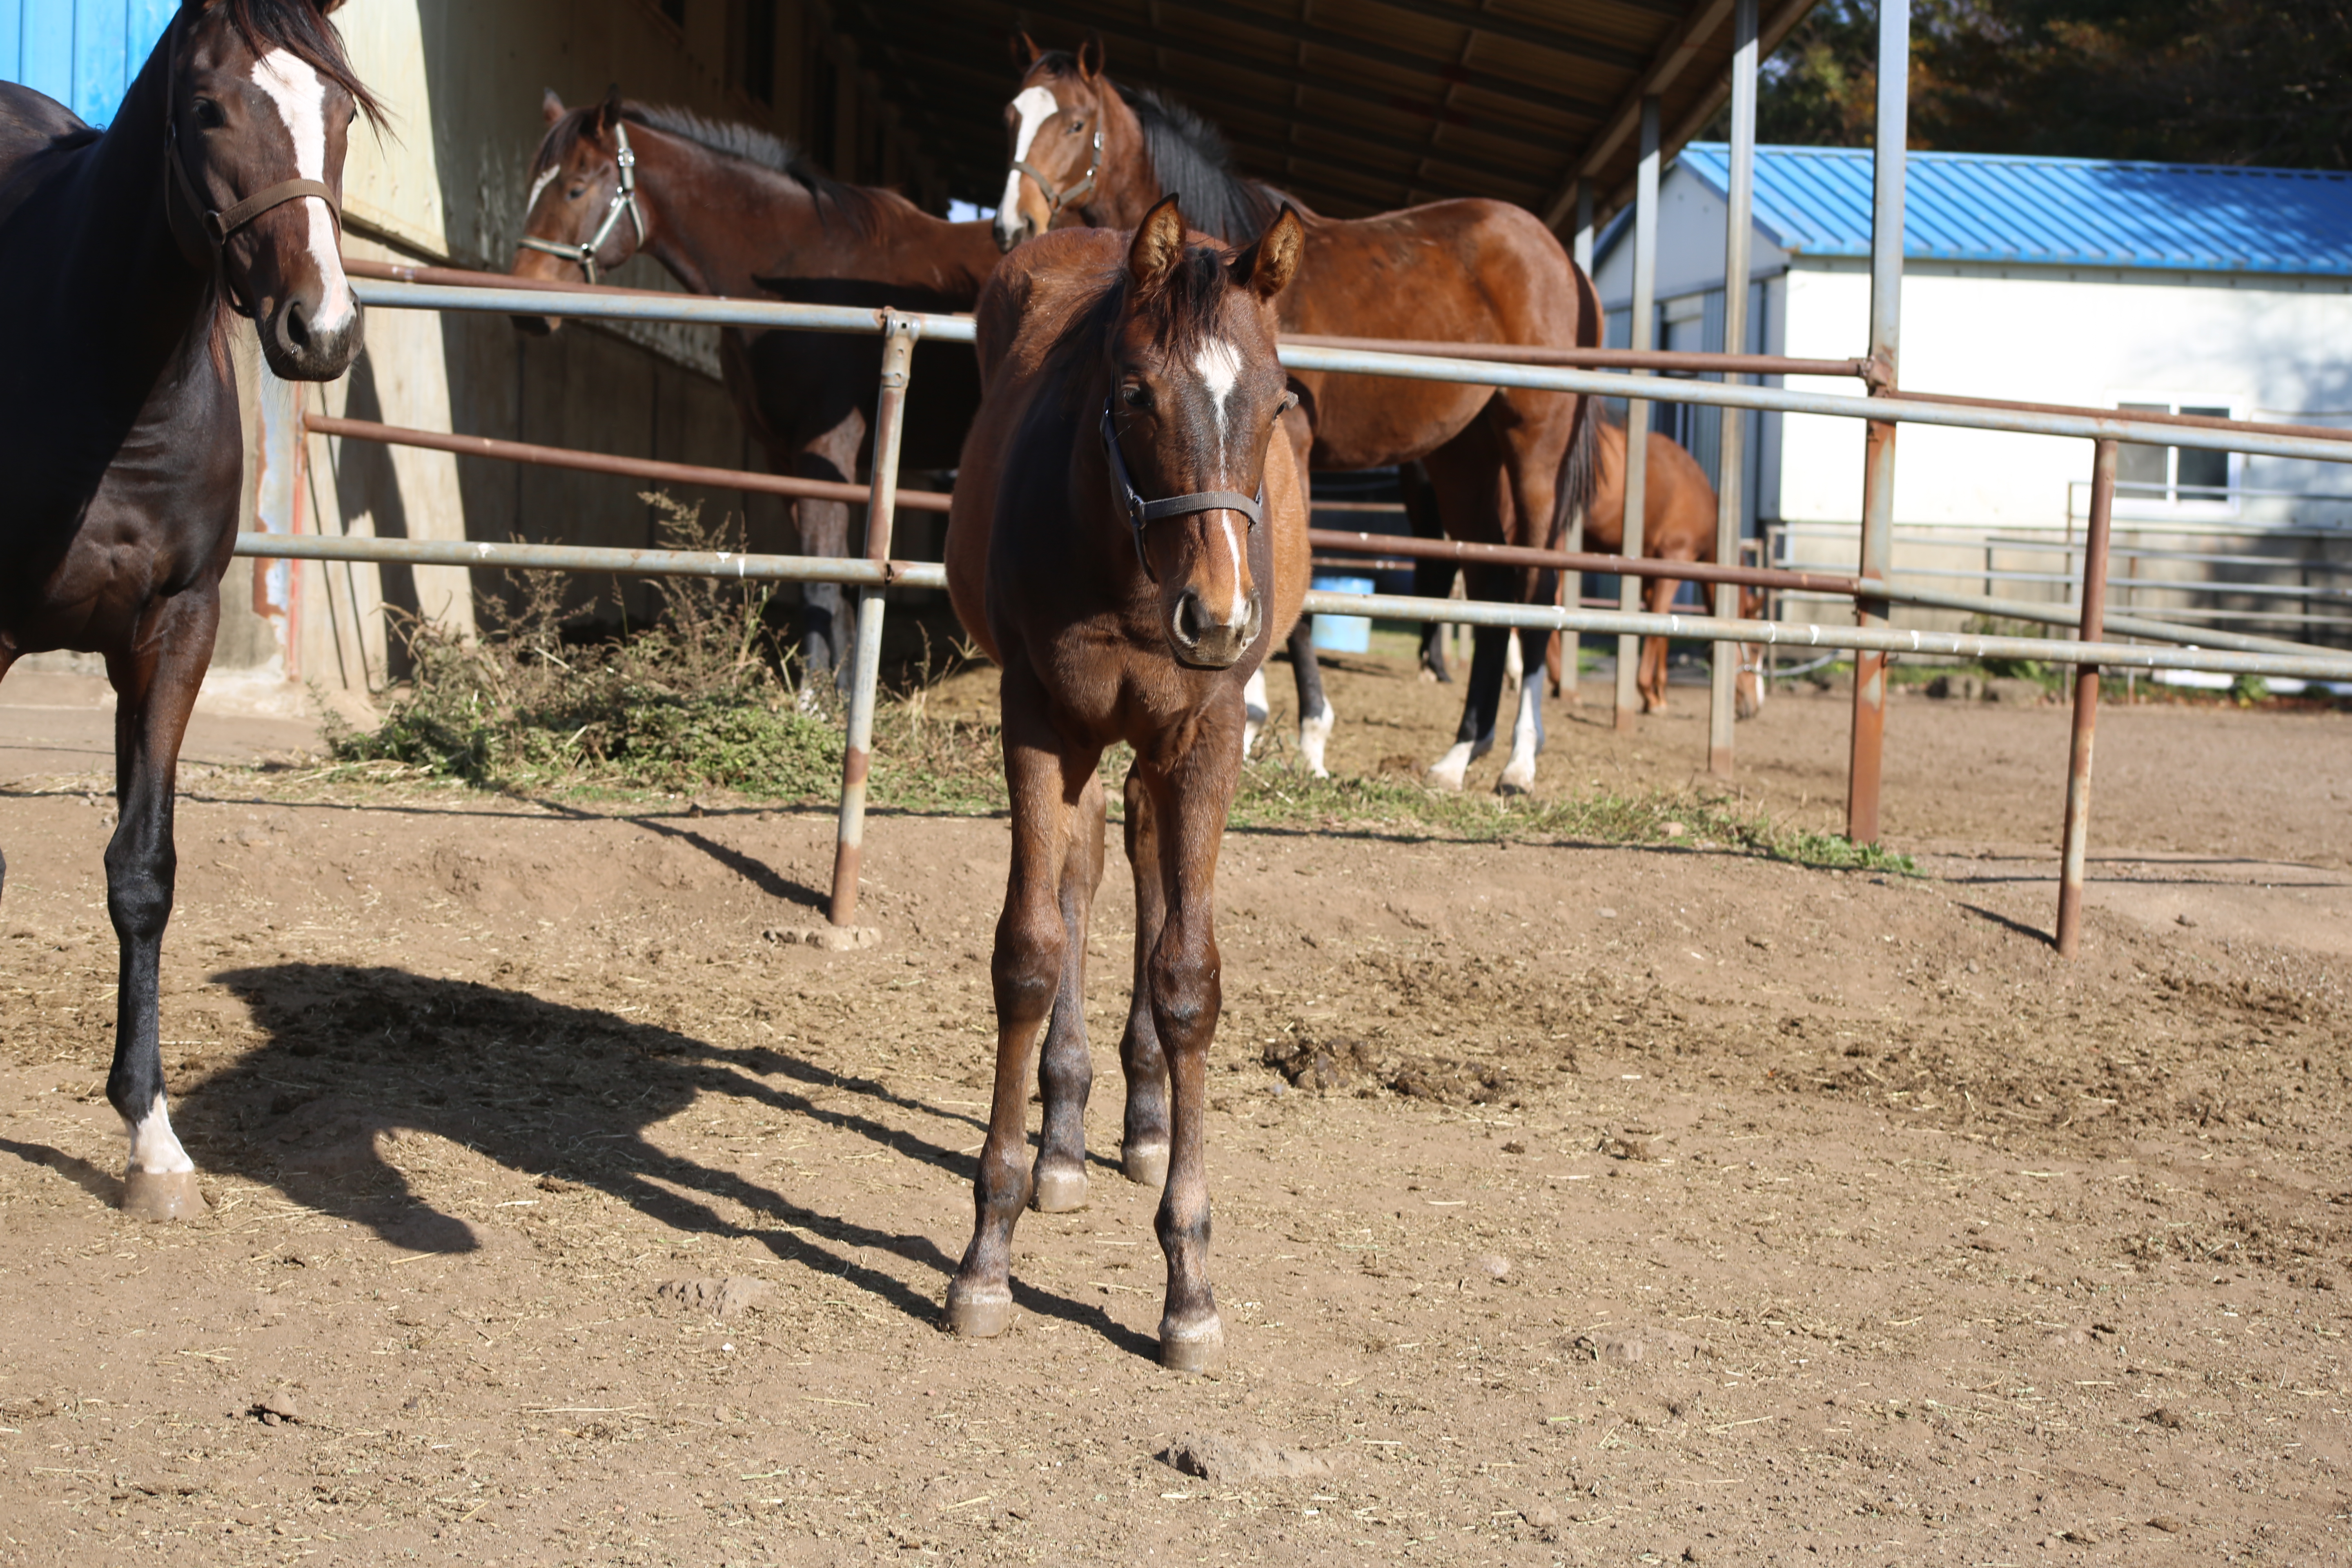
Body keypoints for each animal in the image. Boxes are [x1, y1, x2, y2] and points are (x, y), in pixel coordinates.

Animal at [0, 0, 374, 1222]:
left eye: (341, 110)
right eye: (208, 108)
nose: (322, 330)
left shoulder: (177, 631)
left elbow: (143, 872)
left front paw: (151, 1142)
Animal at [510, 93, 997, 691]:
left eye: (575, 189)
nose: (526, 304)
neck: (797, 264)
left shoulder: (826, 445)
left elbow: (822, 567)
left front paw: (813, 695)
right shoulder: (781, 454)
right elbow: (824, 569)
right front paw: (836, 687)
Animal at [936, 200, 1307, 1373]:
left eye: (1277, 399)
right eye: (1136, 394)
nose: (1220, 617)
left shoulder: (1206, 732)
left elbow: (1188, 978)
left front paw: (1188, 1285)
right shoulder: (1039, 717)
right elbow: (1030, 953)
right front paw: (986, 1253)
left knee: (1143, 862)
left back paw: (1142, 1123)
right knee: (1087, 878)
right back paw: (1064, 1138)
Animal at [992, 33, 1599, 799]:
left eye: (1075, 123)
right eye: (1011, 116)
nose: (1012, 226)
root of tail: (1560, 259)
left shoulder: (1291, 441)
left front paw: (1300, 734)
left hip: (1533, 447)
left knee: (1536, 585)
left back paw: (1519, 761)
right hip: (1464, 460)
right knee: (1492, 587)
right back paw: (1462, 752)